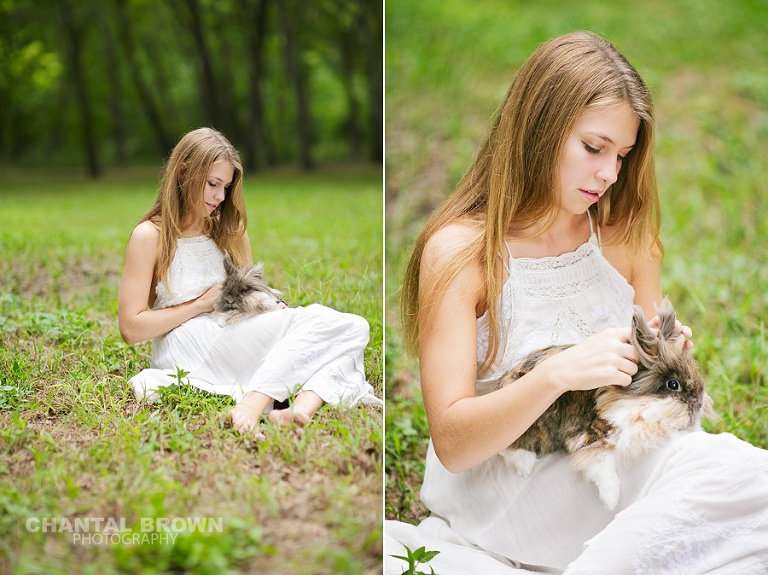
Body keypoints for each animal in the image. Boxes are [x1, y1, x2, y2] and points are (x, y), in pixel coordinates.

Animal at [497, 298, 714, 510]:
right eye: (673, 384)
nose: (699, 401)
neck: (633, 404)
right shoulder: (588, 435)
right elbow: (601, 463)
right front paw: (611, 500)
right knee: (509, 447)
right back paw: (525, 466)